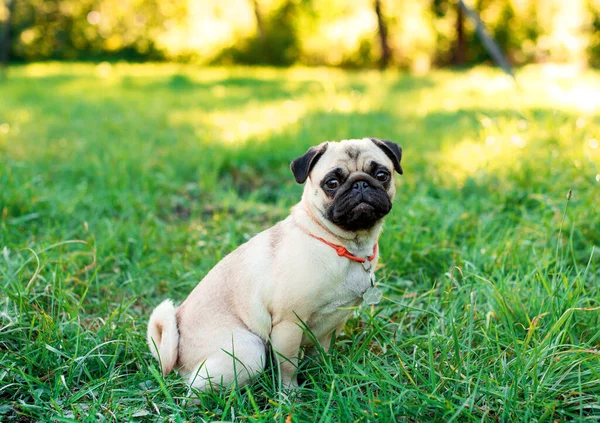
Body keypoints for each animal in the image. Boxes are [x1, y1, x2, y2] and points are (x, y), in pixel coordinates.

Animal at [146, 137, 404, 392]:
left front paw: (323, 377)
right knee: (195, 386)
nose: (361, 184)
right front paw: (291, 395)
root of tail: (176, 355)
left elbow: (320, 354)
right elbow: (289, 366)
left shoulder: (334, 323)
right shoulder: (289, 324)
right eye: (332, 183)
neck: (341, 244)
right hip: (248, 350)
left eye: (382, 175)